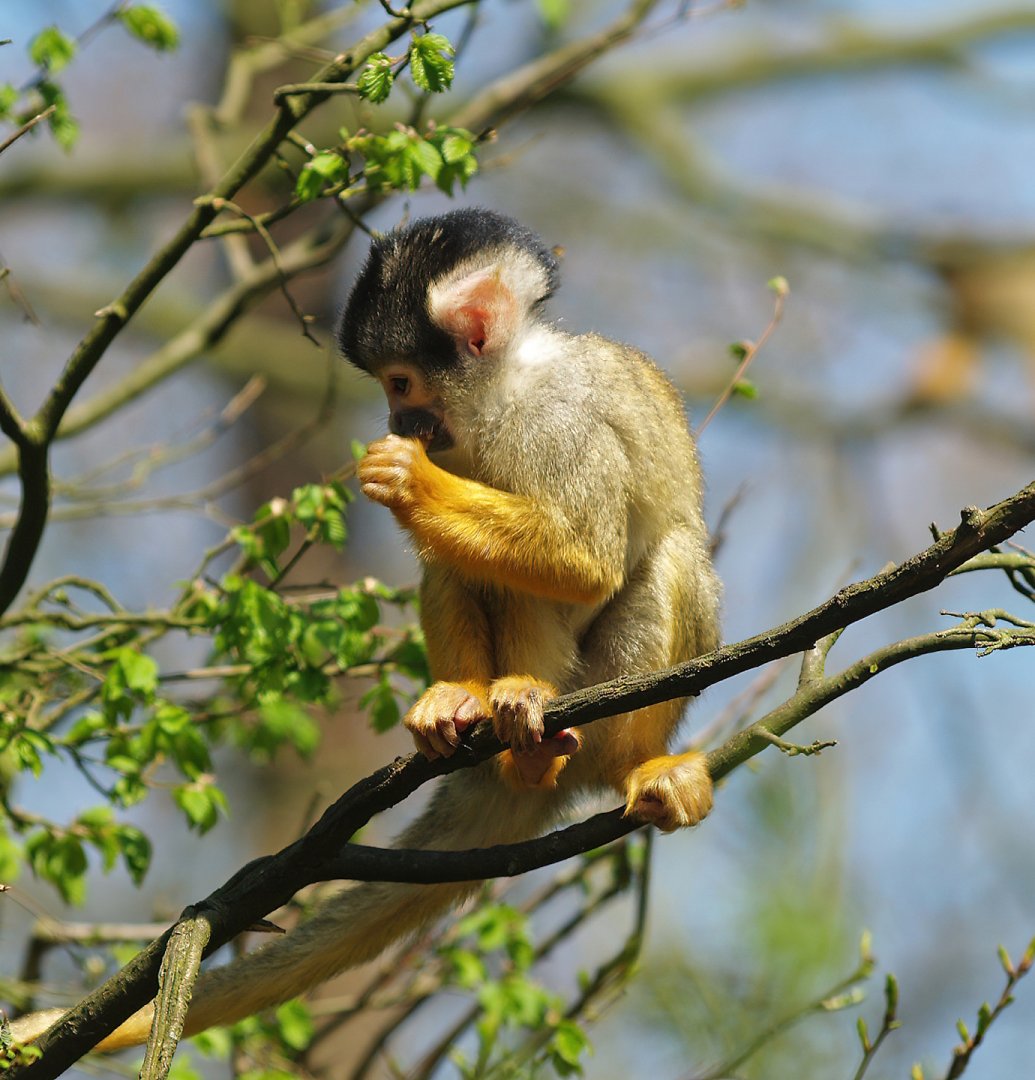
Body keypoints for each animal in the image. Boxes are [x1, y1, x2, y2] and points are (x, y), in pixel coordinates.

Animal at [9, 208, 721, 1054]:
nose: (395, 420)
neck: (505, 395)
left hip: (613, 697)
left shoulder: (562, 424)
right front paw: (457, 690)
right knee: (467, 571)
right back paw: (501, 723)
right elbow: (462, 565)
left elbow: (587, 559)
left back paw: (612, 753)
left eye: (401, 381)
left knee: (666, 556)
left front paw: (411, 482)